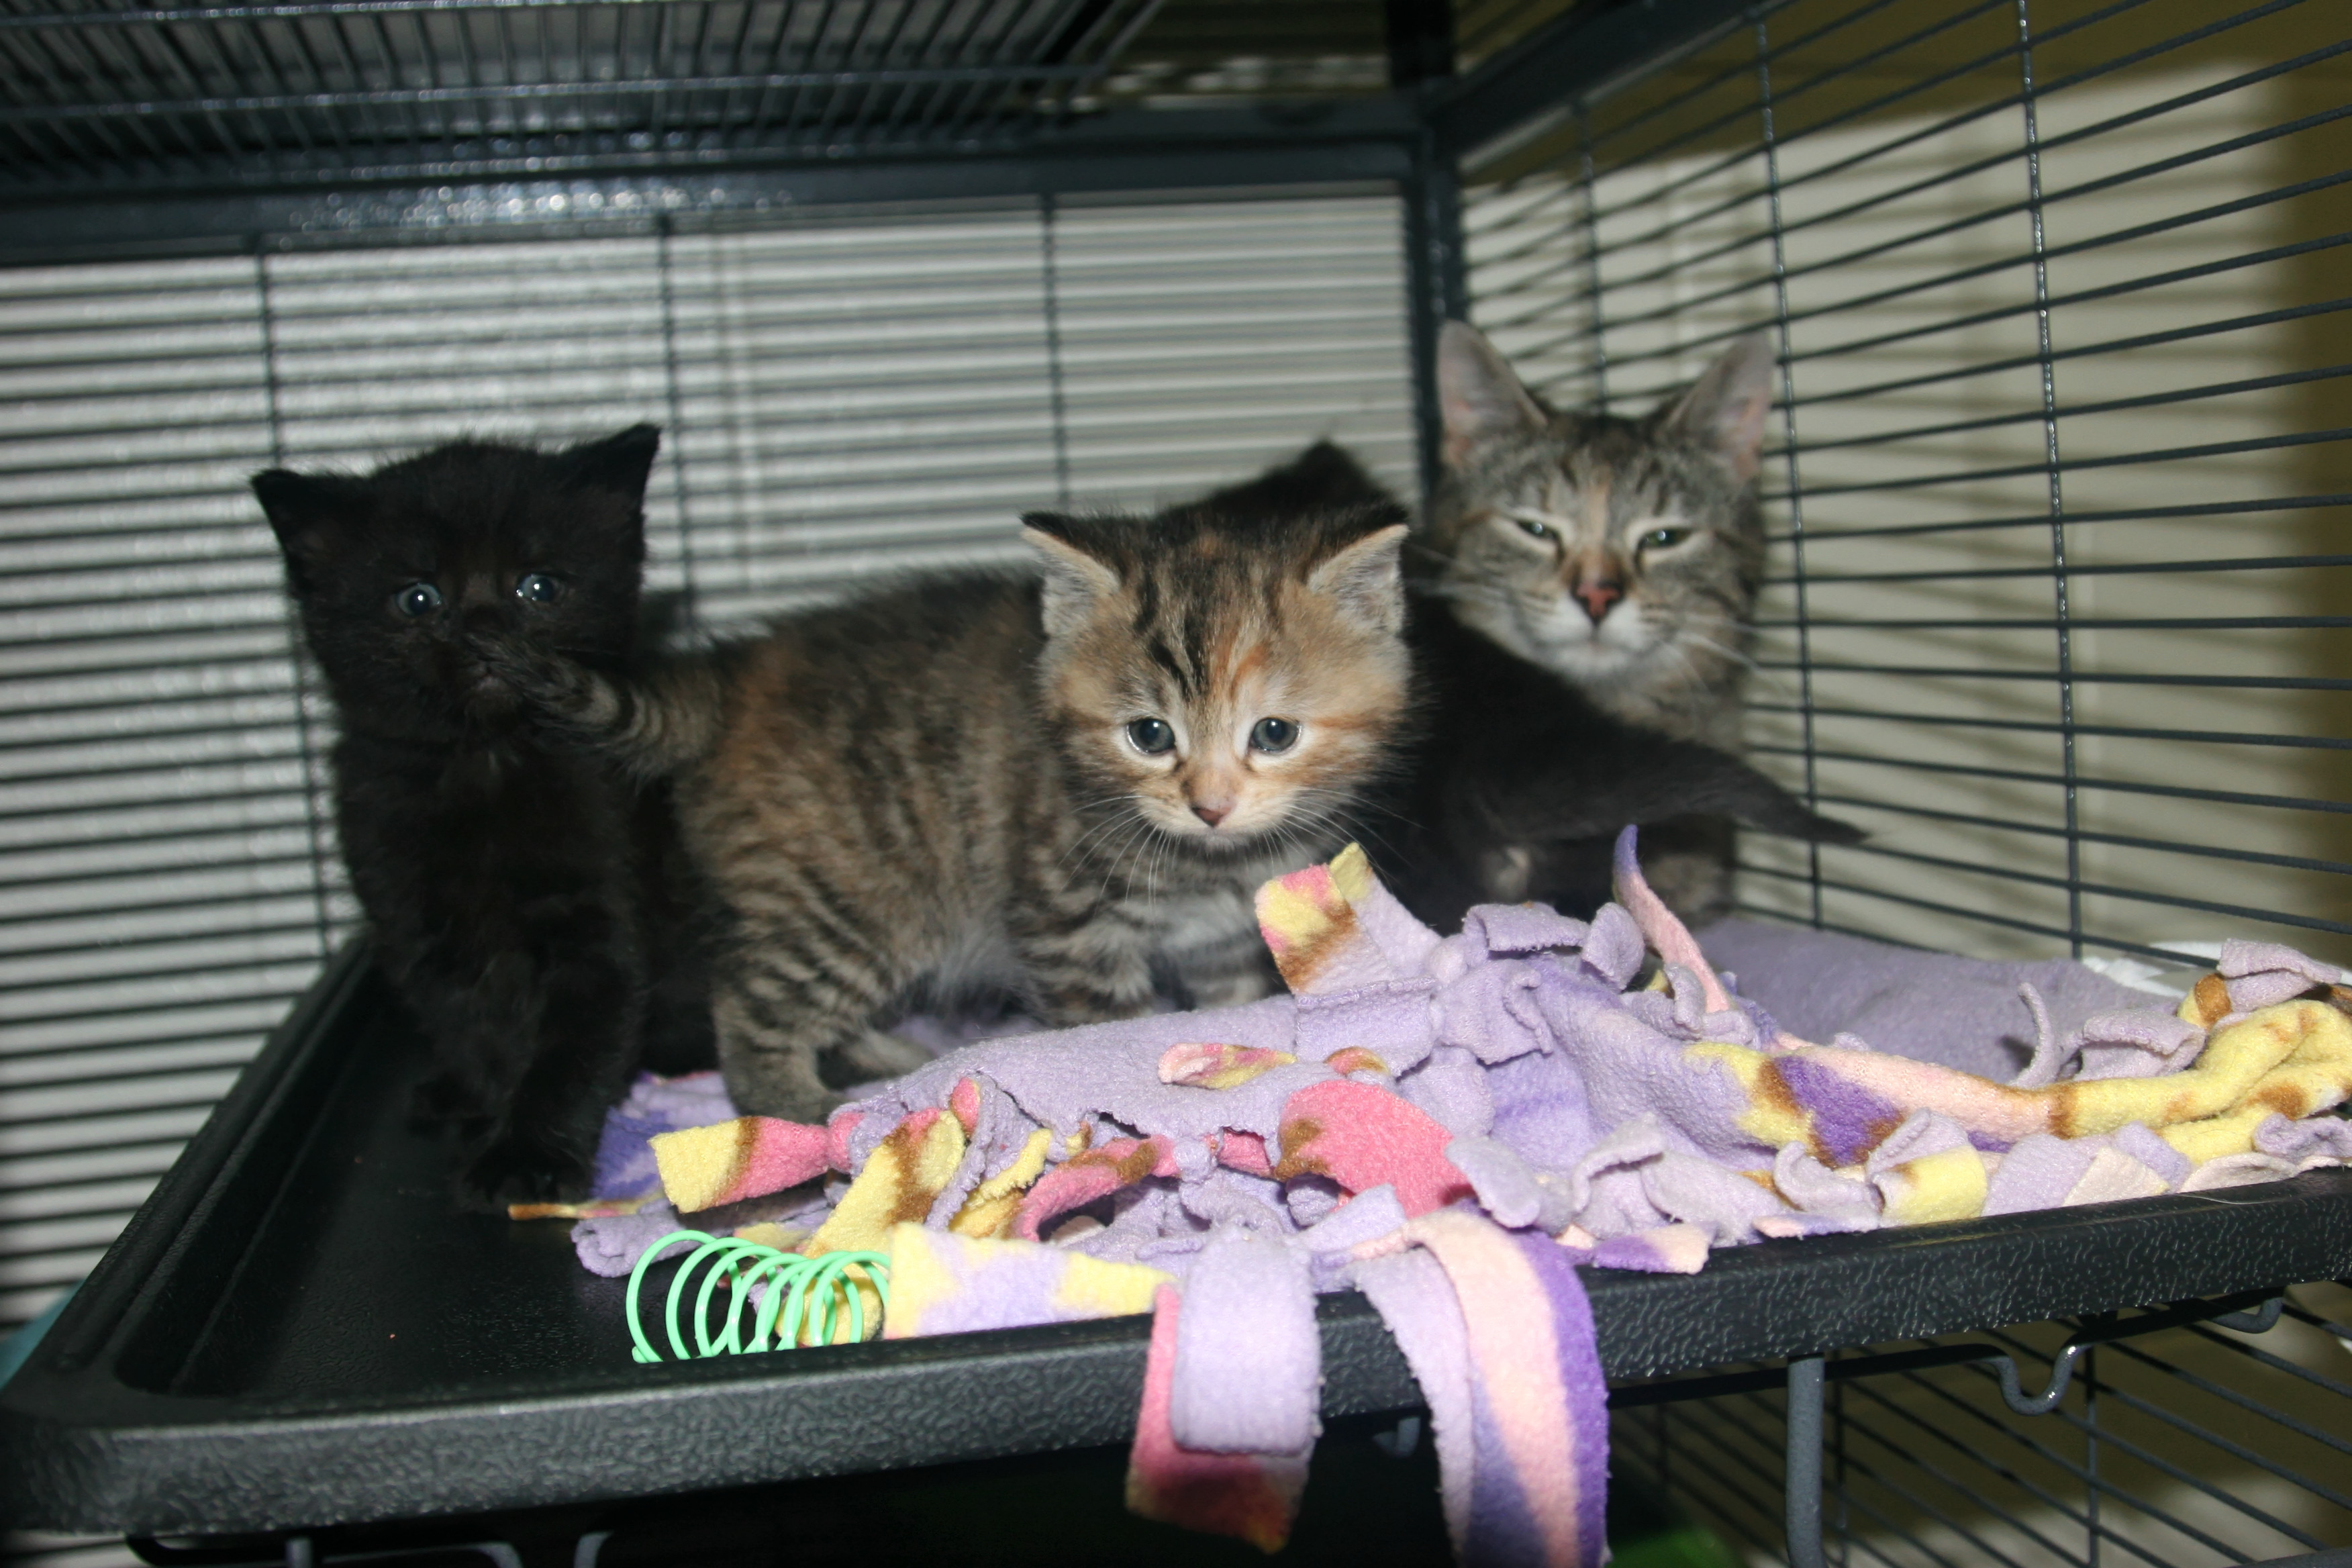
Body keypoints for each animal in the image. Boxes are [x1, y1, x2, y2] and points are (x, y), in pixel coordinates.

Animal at [257, 423, 710, 1213]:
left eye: (539, 586)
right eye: (417, 597)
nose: (485, 632)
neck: (487, 764)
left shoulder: (597, 918)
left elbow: (569, 1045)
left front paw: (524, 1154)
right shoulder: (417, 922)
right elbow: (474, 1028)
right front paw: (492, 1111)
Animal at [468, 495, 1402, 1124]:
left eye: (1274, 732)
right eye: (1149, 734)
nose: (1209, 805)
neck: (1211, 865)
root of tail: (731, 681)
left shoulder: (1220, 943)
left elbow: (1229, 1008)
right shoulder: (1065, 922)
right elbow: (1103, 1031)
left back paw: (900, 1062)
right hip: (851, 903)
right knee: (747, 1000)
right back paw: (800, 1110)